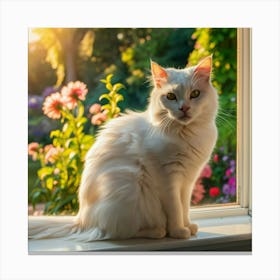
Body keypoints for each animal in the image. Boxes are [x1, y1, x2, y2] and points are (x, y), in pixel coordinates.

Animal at [28, 55, 218, 241]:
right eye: (171, 96)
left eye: (195, 94)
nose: (184, 108)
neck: (187, 135)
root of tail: (81, 220)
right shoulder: (168, 180)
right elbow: (176, 210)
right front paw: (179, 231)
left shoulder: (188, 181)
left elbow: (184, 208)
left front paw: (188, 227)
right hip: (130, 191)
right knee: (117, 232)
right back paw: (157, 231)